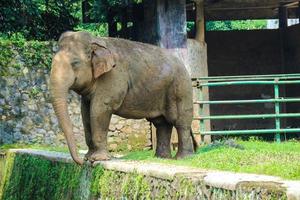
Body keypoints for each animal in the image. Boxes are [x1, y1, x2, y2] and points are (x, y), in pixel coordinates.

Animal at [49, 31, 197, 165]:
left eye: (75, 63)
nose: (81, 162)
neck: (96, 41)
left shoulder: (113, 77)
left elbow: (99, 109)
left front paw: (97, 159)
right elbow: (85, 112)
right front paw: (89, 157)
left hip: (181, 87)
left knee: (180, 121)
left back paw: (183, 158)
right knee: (162, 123)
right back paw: (162, 158)